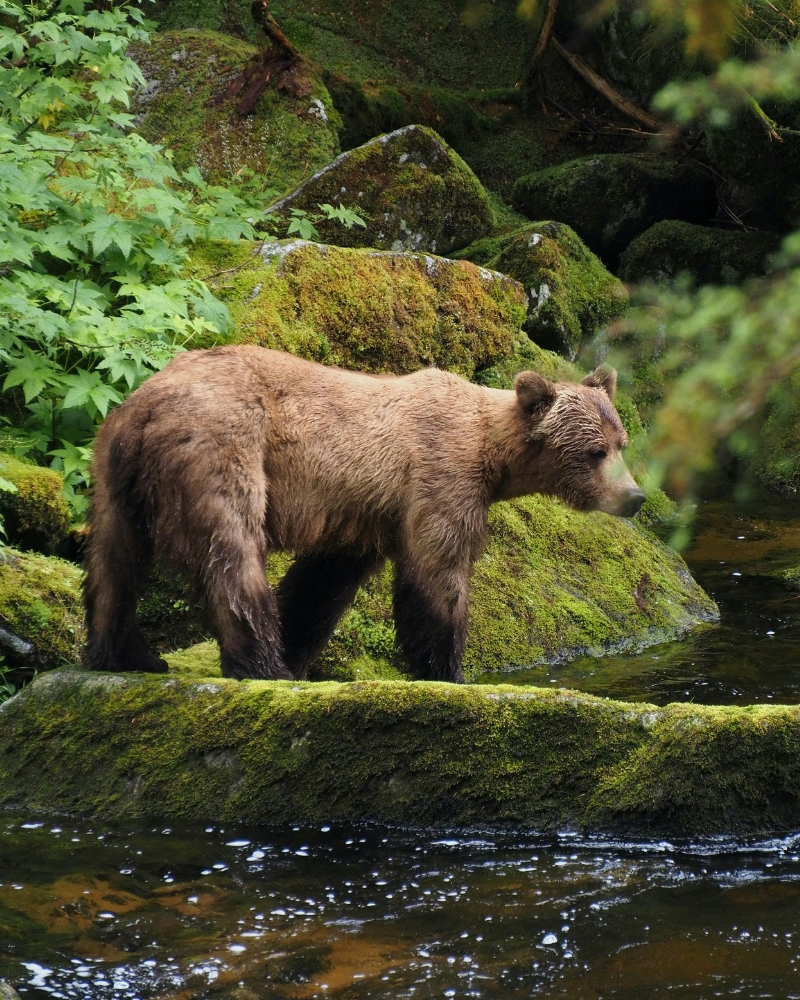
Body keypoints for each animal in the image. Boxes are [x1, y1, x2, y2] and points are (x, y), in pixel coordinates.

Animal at [83, 345, 645, 683]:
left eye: (622, 442)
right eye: (595, 451)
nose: (635, 496)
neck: (492, 453)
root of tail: (147, 404)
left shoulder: (363, 513)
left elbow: (321, 584)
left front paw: (299, 645)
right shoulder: (439, 477)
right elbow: (437, 572)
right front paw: (447, 668)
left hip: (114, 470)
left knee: (113, 562)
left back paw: (124, 653)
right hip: (223, 445)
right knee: (232, 552)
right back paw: (262, 664)